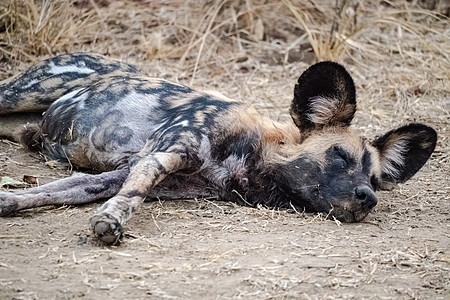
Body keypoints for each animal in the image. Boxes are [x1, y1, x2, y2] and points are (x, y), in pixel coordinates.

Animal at [0, 54, 436, 244]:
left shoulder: (118, 176)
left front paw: (9, 201)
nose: (367, 198)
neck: (250, 160)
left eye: (375, 181)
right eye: (340, 156)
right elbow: (132, 197)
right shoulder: (161, 156)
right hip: (20, 94)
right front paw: (111, 222)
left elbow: (53, 191)